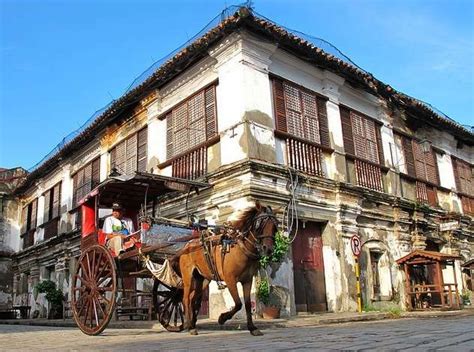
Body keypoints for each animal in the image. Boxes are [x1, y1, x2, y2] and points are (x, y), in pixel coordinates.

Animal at [180, 201, 280, 336]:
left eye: (275, 226)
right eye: (260, 224)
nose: (268, 249)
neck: (241, 249)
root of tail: (187, 245)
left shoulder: (247, 280)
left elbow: (247, 304)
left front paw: (252, 327)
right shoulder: (230, 279)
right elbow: (238, 304)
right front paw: (222, 318)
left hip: (202, 280)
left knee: (192, 299)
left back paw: (193, 323)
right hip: (188, 278)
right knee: (185, 299)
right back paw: (189, 325)